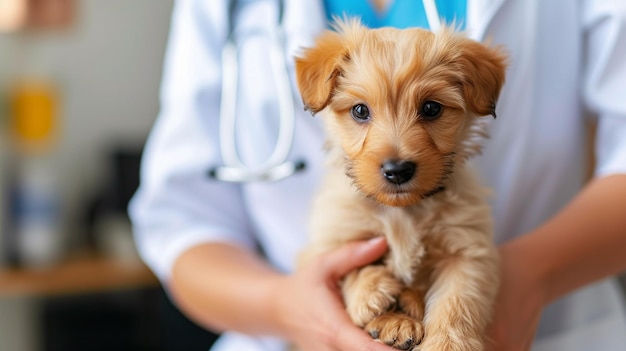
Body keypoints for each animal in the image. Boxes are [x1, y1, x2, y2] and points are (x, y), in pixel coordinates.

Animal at [294, 20, 504, 351]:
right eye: (360, 111)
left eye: (431, 108)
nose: (397, 170)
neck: (402, 212)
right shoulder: (329, 243)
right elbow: (352, 265)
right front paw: (371, 291)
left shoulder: (467, 252)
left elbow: (457, 304)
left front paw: (446, 343)